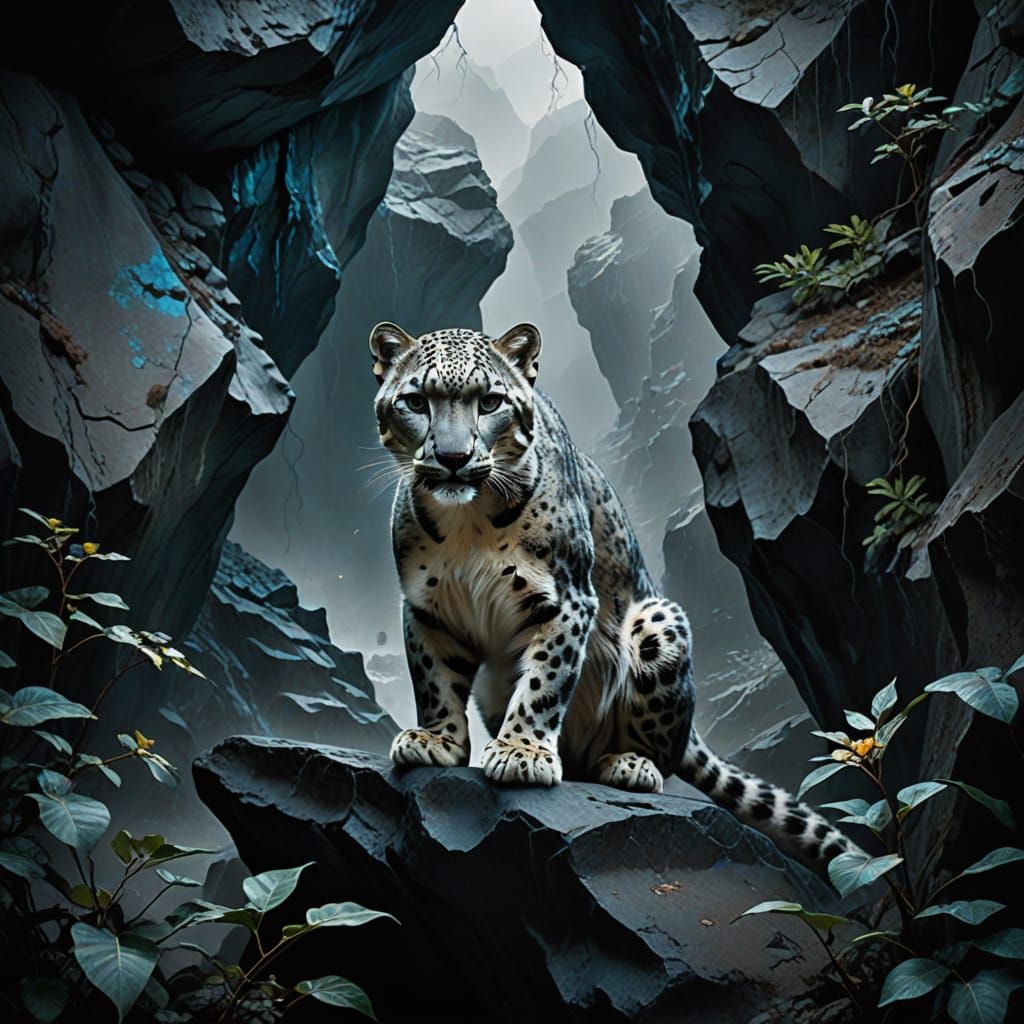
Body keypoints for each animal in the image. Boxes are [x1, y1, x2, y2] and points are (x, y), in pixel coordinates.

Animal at [369, 320, 857, 862]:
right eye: (416, 402)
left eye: (490, 402)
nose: (453, 458)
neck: (467, 522)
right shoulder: (426, 606)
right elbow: (434, 680)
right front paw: (436, 741)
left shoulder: (564, 597)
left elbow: (544, 681)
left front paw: (521, 752)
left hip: (659, 625)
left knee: (660, 753)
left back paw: (629, 764)